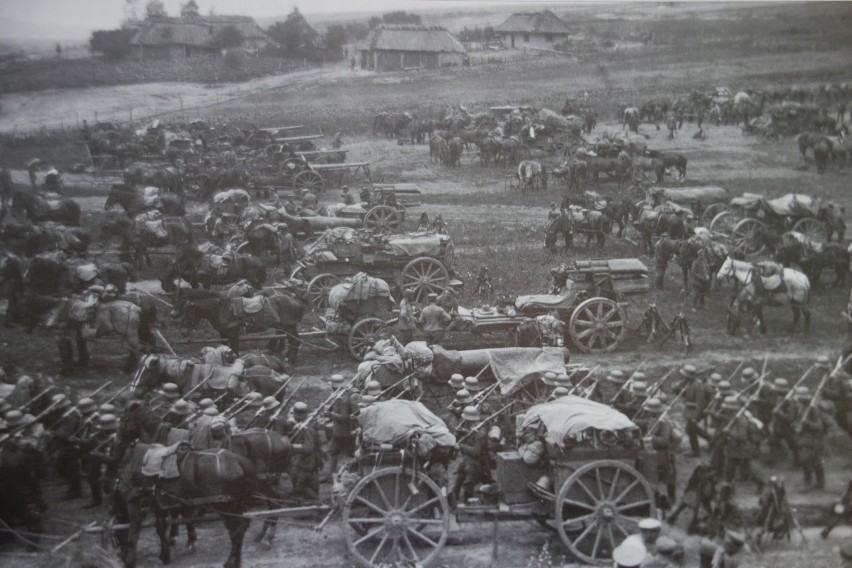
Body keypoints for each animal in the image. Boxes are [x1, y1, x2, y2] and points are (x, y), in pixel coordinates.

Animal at [111, 442, 255, 568]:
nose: (119, 553)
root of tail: (238, 460)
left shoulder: (135, 503)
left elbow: (134, 530)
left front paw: (129, 560)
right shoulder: (160, 504)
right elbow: (161, 527)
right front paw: (165, 554)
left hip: (225, 507)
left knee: (236, 531)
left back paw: (231, 562)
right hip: (237, 505)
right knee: (242, 527)